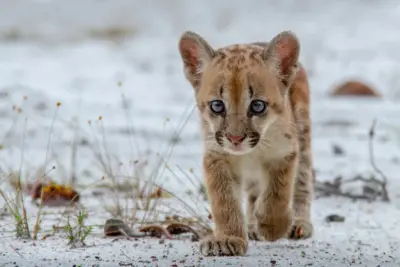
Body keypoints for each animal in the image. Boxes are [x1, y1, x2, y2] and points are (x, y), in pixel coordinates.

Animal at [180, 29, 314, 258]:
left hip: (304, 136)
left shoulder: (285, 152)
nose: (235, 139)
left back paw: (298, 223)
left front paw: (273, 226)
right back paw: (251, 226)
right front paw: (228, 238)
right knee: (253, 193)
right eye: (217, 106)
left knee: (303, 182)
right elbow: (224, 200)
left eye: (258, 106)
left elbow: (278, 192)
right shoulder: (216, 155)